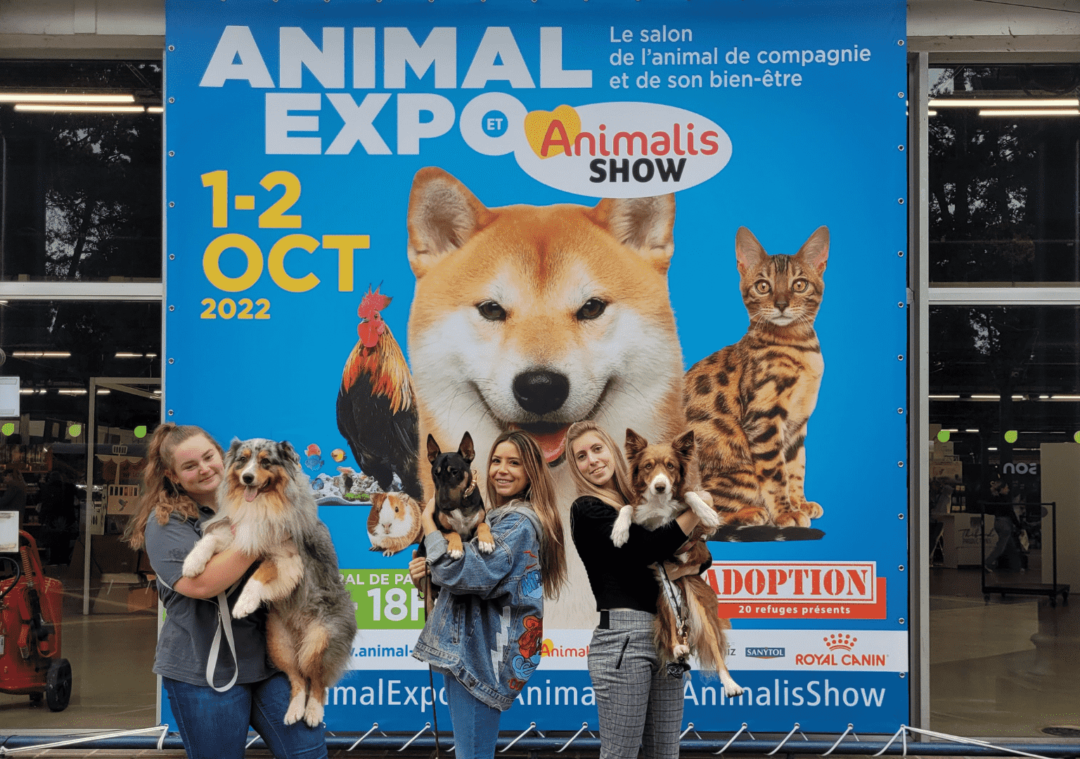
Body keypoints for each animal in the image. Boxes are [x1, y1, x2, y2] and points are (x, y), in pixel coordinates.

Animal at [182, 442, 354, 725]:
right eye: (242, 460)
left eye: (265, 462)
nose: (247, 478)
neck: (262, 504)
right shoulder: (242, 537)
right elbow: (211, 539)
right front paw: (191, 563)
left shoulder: (287, 558)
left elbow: (260, 574)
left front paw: (243, 604)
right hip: (278, 645)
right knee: (297, 679)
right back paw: (294, 711)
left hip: (319, 642)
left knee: (317, 681)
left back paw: (312, 712)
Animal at [617, 429, 743, 699]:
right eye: (648, 466)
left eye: (671, 466)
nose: (660, 486)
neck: (660, 503)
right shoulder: (644, 524)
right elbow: (626, 506)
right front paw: (619, 531)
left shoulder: (696, 532)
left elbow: (689, 493)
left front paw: (706, 511)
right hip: (664, 595)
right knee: (673, 630)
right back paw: (677, 649)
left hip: (700, 611)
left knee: (716, 652)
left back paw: (730, 684)